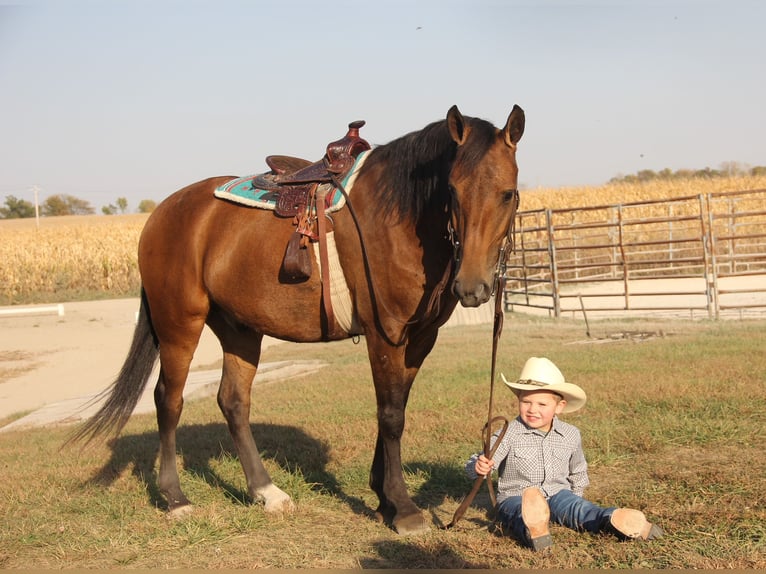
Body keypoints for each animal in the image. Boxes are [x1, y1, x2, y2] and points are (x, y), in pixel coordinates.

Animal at [72, 104, 524, 540]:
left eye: (508, 194)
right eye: (453, 190)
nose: (473, 288)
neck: (398, 217)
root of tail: (161, 214)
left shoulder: (419, 338)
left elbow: (394, 408)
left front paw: (383, 498)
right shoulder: (385, 335)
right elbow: (392, 415)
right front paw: (403, 506)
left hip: (239, 329)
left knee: (233, 401)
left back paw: (265, 491)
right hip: (179, 323)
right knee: (170, 400)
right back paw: (176, 498)